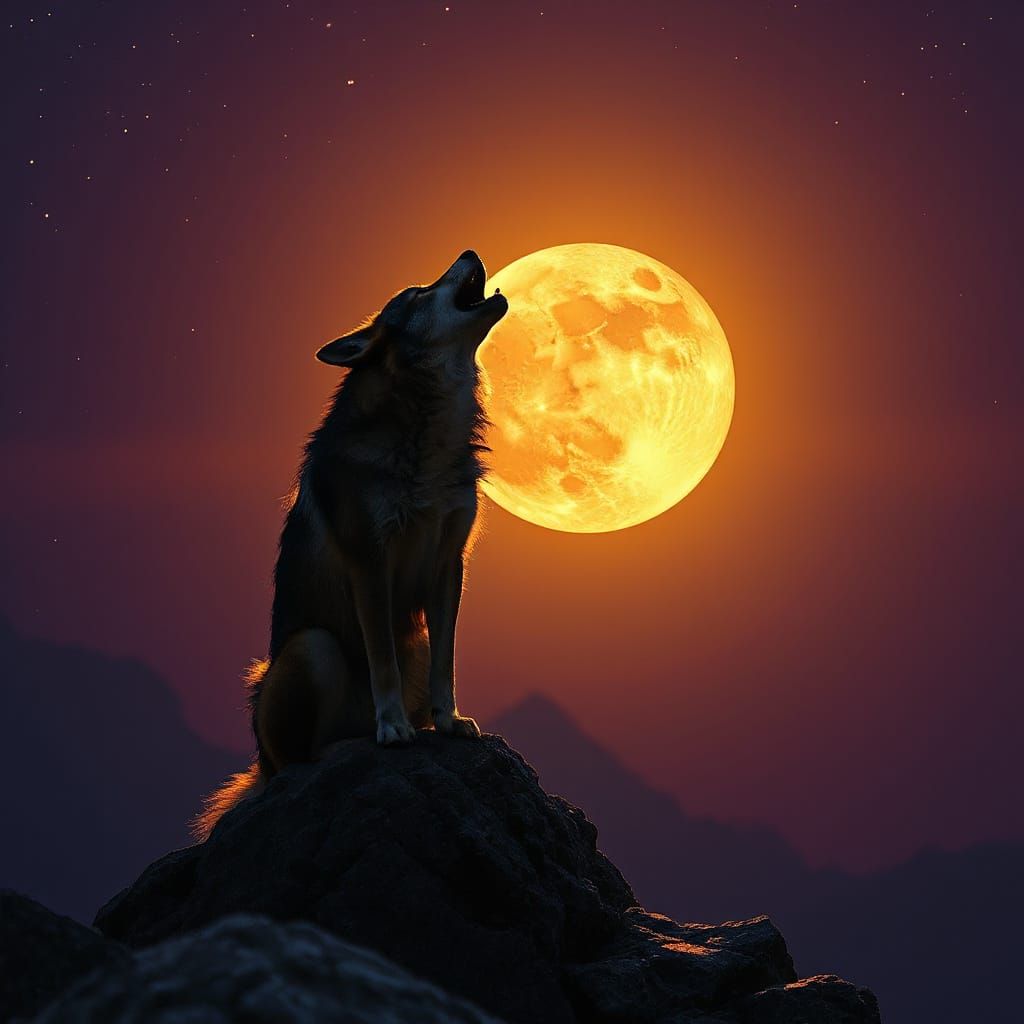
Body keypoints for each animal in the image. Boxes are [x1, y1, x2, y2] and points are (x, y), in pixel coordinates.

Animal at [194, 250, 508, 839]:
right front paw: (393, 727)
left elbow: (447, 663)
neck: (426, 430)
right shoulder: (370, 562)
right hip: (311, 647)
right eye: (415, 292)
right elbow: (382, 655)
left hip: (408, 638)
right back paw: (352, 743)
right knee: (295, 762)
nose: (471, 253)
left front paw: (449, 721)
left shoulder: (449, 564)